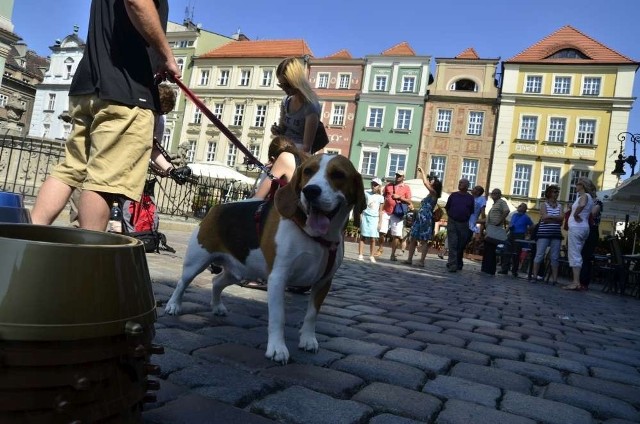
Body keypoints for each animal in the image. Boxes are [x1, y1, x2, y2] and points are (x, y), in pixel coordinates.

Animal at [165, 154, 364, 362]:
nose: (310, 191)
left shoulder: (324, 282)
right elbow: (278, 317)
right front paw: (277, 349)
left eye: (338, 174)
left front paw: (308, 340)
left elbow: (311, 315)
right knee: (182, 283)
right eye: (308, 171)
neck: (315, 236)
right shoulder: (278, 278)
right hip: (195, 262)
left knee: (216, 281)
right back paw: (173, 305)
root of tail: (215, 208)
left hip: (238, 271)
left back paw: (217, 306)